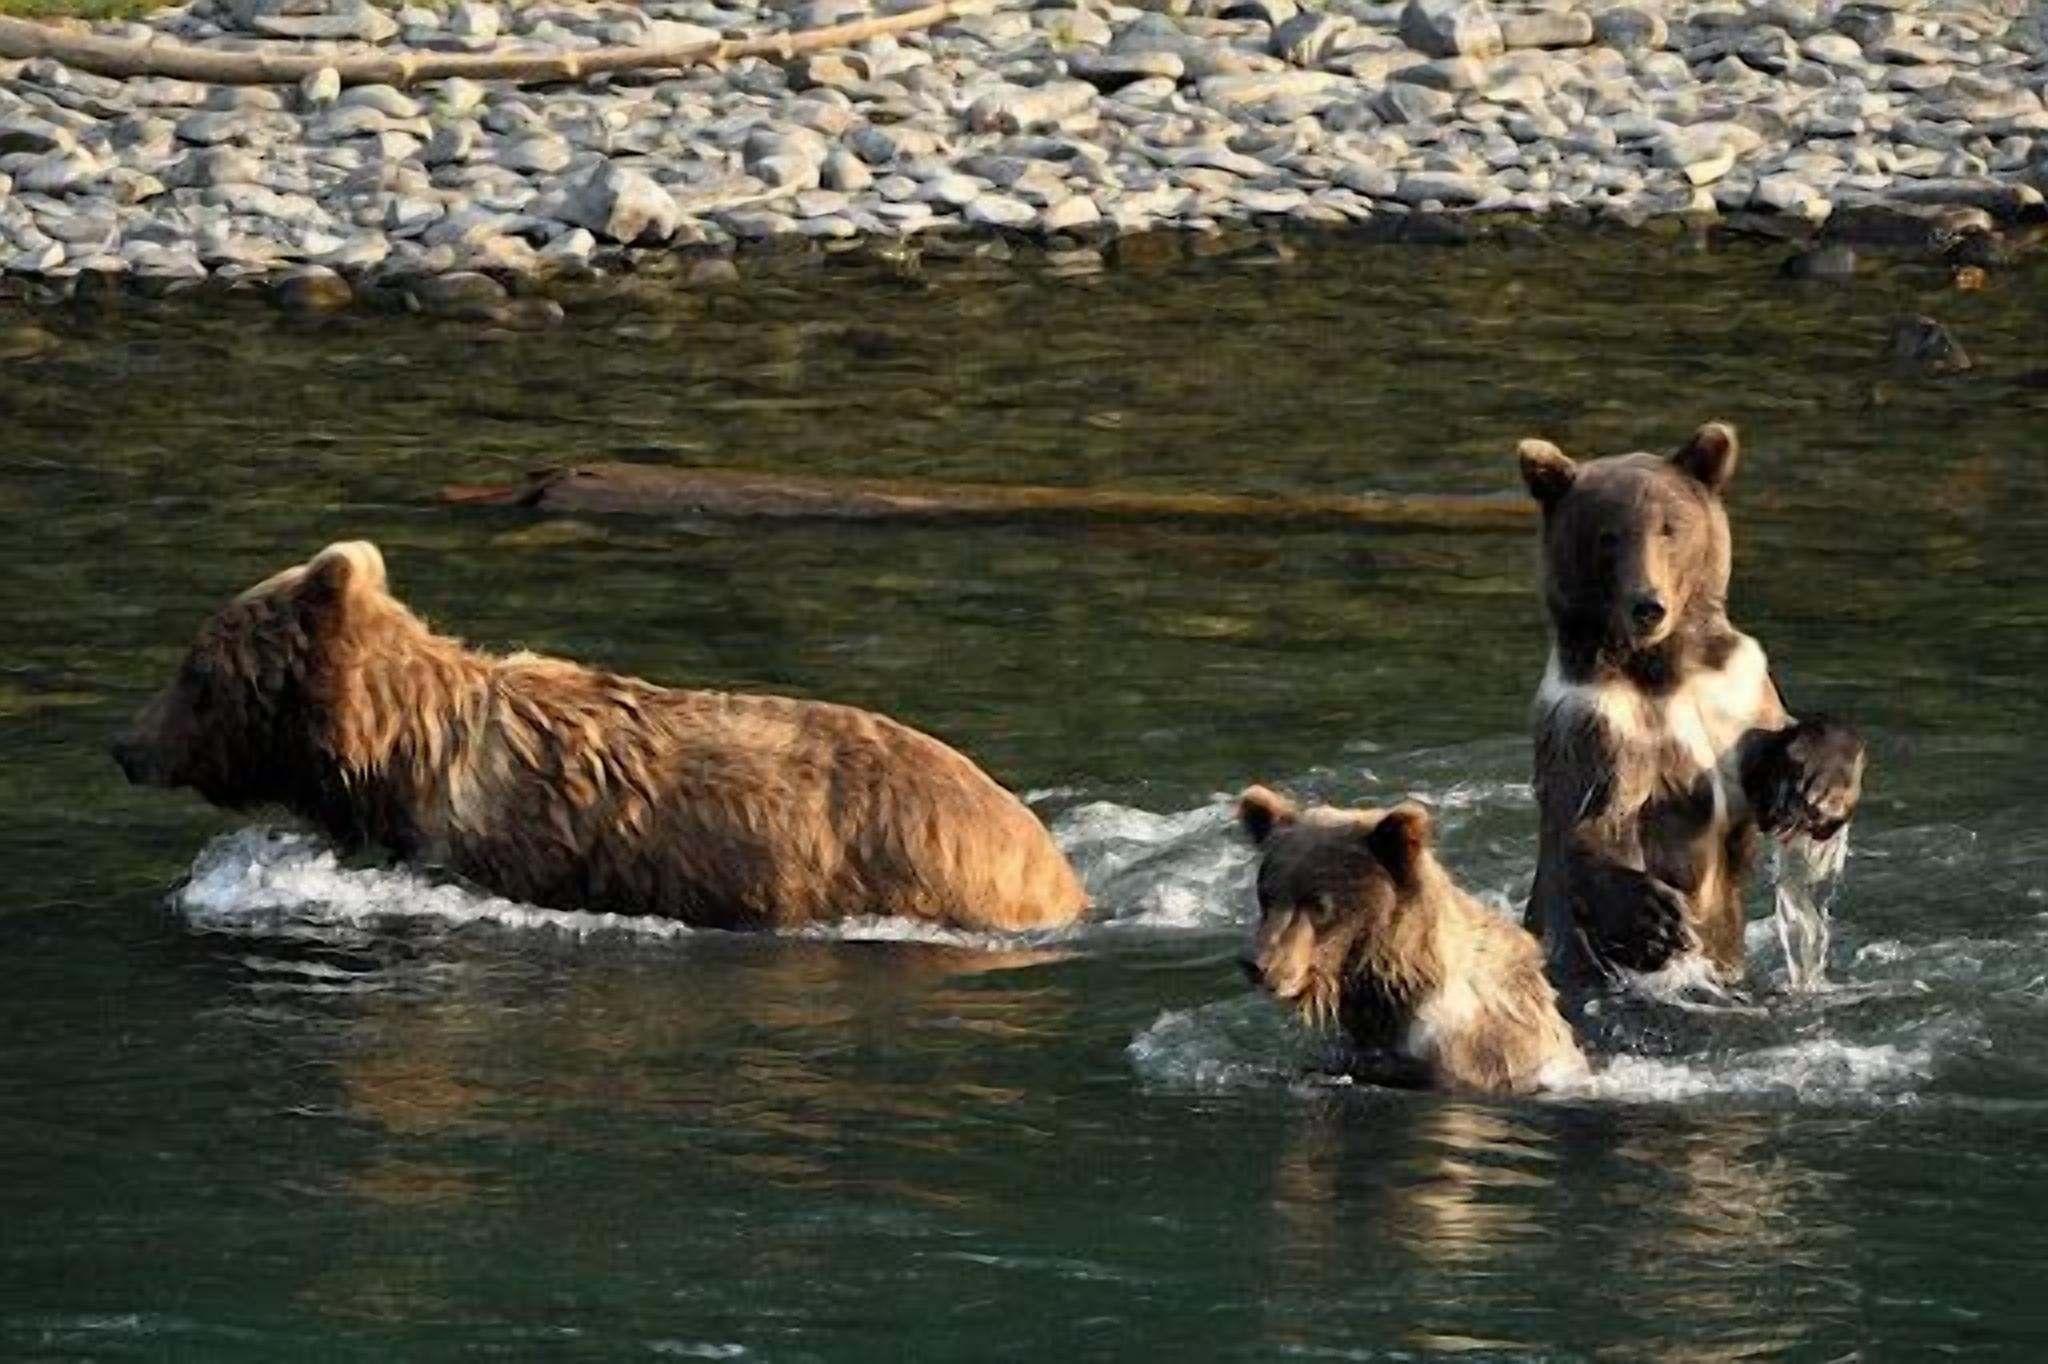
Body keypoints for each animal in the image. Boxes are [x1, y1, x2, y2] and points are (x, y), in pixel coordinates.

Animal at [1516, 421, 1866, 995]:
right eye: (1607, 536)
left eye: (1669, 528)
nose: (1647, 606)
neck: (1665, 670)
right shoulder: (1597, 722)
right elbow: (1593, 823)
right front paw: (1652, 917)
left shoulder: (1735, 695)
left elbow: (1787, 745)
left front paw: (1815, 786)